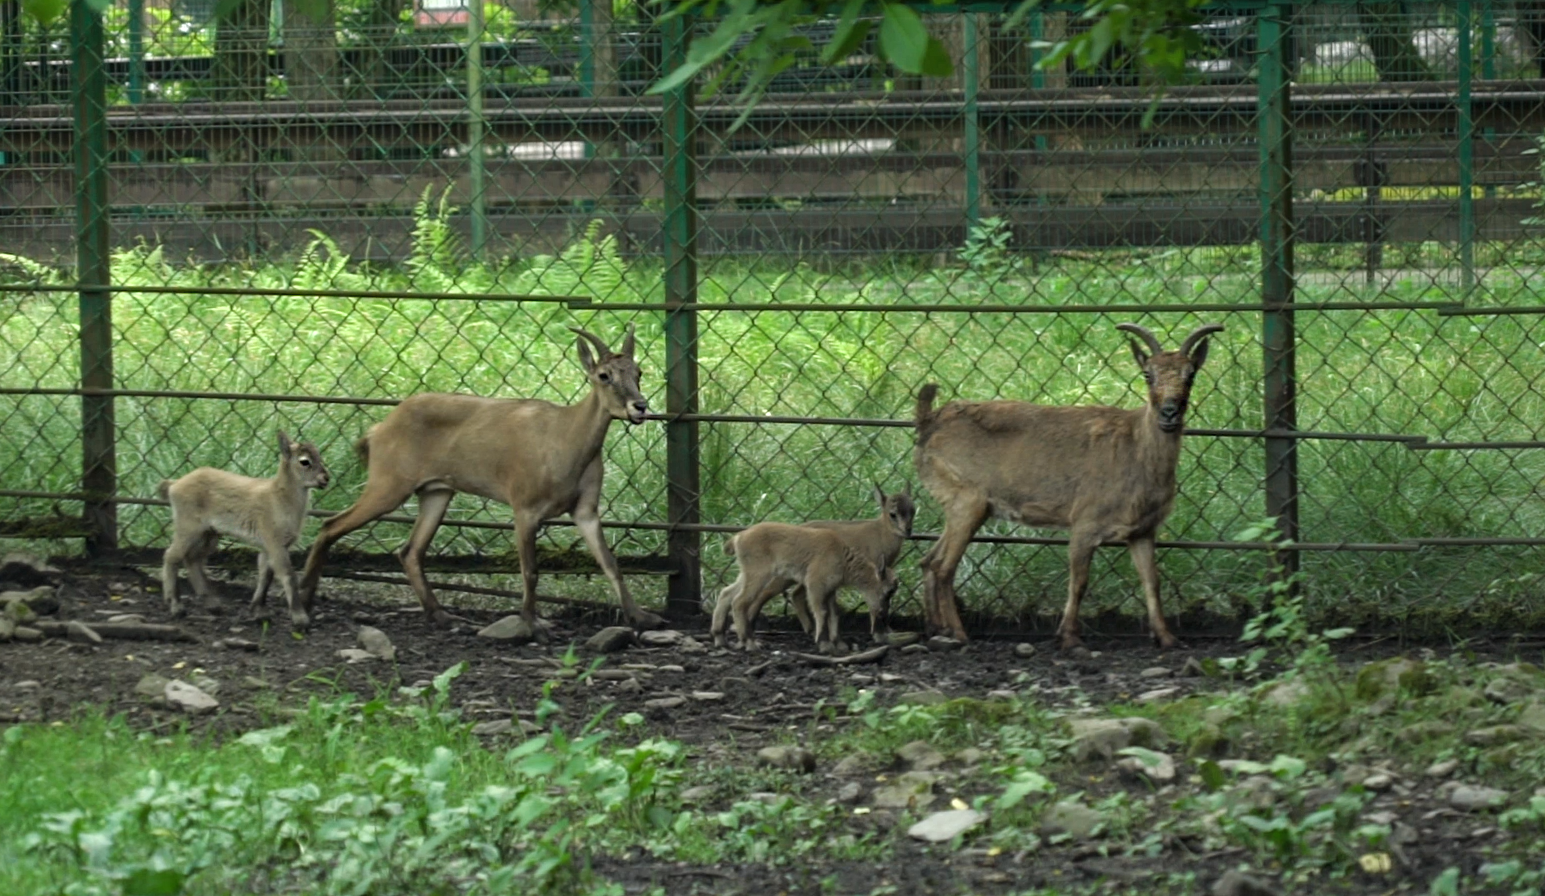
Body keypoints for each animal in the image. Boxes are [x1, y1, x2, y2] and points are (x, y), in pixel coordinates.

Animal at [296, 321, 664, 630]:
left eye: (639, 371)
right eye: (604, 375)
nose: (639, 407)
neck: (565, 439)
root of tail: (378, 430)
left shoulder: (585, 509)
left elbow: (610, 563)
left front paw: (642, 617)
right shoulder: (524, 508)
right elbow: (530, 570)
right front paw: (530, 623)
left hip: (436, 492)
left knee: (410, 551)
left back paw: (441, 614)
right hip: (388, 485)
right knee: (331, 525)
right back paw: (305, 599)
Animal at [908, 321, 1223, 651]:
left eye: (1191, 374)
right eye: (1148, 374)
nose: (1169, 412)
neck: (1136, 447)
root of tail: (928, 422)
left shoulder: (1142, 530)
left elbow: (1152, 581)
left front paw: (1167, 637)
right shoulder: (1085, 521)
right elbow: (1079, 581)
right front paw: (1069, 637)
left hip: (962, 506)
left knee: (929, 560)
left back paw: (936, 627)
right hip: (967, 498)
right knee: (944, 567)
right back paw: (958, 633)